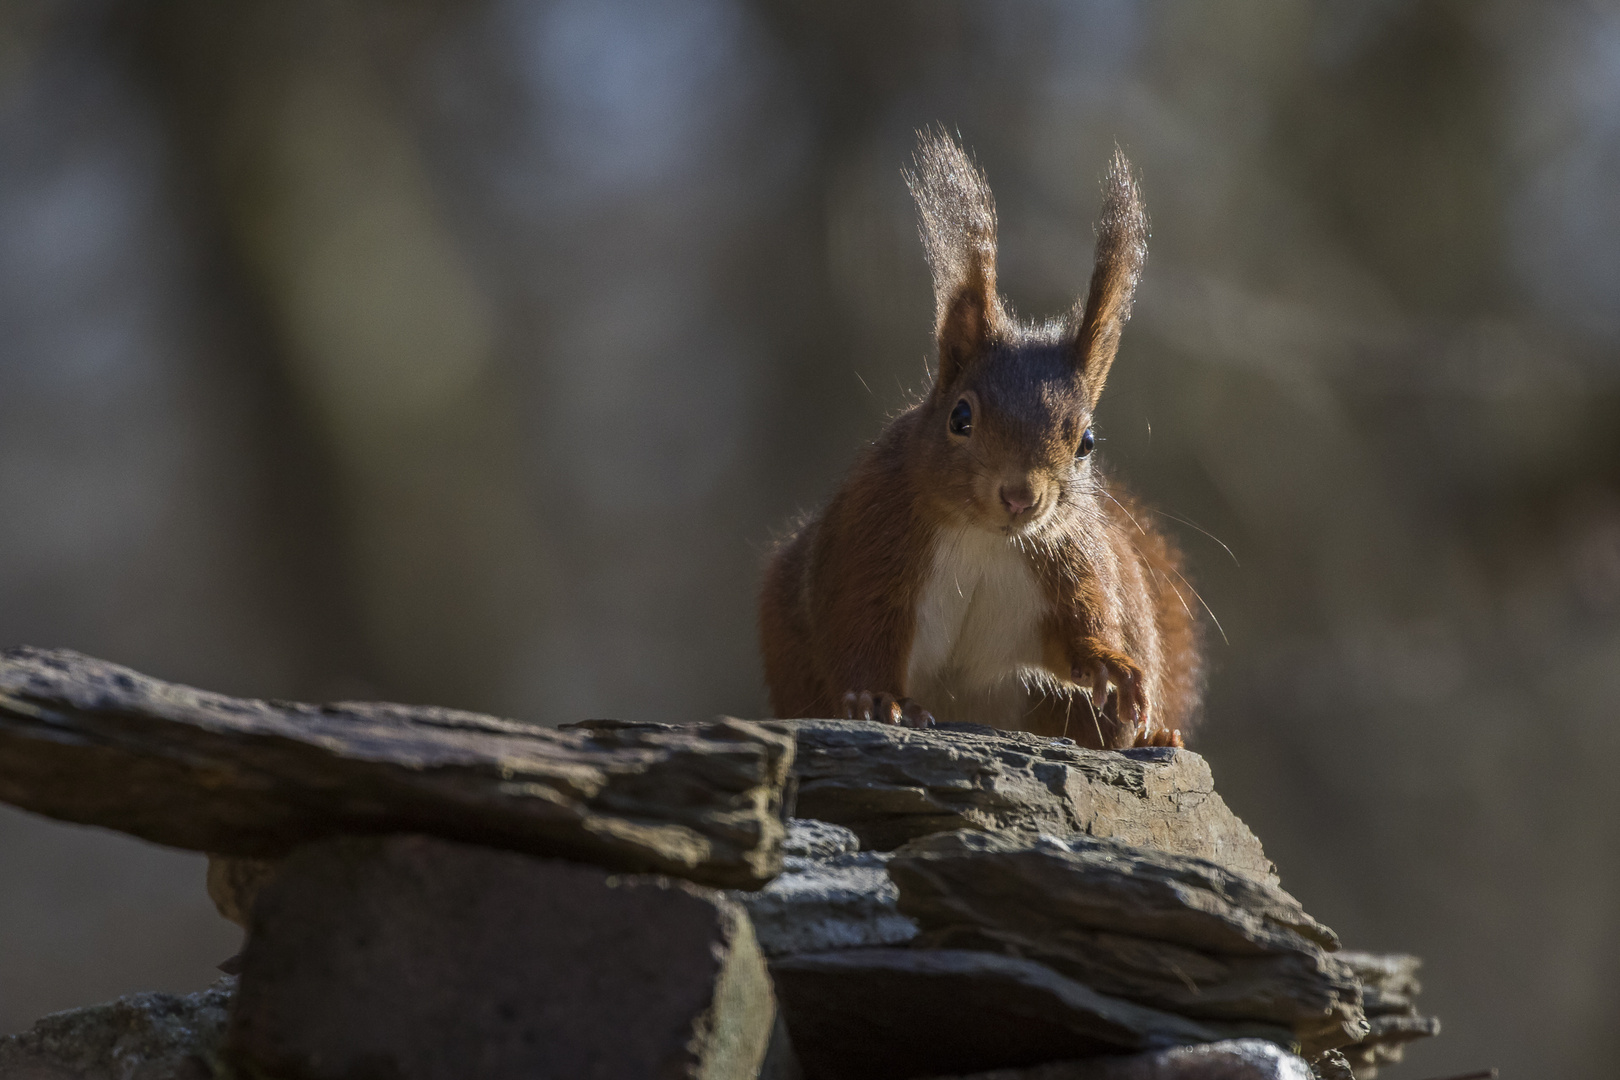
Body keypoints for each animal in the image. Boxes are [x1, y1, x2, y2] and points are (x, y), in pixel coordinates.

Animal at [758, 131, 1205, 748]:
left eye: (1086, 441)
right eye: (960, 417)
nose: (1020, 497)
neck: (985, 539)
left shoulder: (1073, 563)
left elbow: (1081, 630)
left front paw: (1110, 663)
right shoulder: (870, 537)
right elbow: (862, 626)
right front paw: (877, 699)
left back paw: (1157, 736)